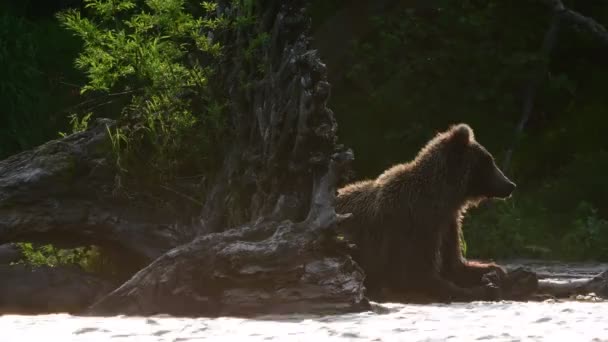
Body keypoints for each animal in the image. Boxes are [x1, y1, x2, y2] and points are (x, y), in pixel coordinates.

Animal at [334, 123, 516, 302]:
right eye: (488, 162)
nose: (510, 185)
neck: (443, 199)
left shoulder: (448, 225)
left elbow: (454, 264)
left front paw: (497, 272)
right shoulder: (416, 224)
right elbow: (420, 275)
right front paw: (485, 289)